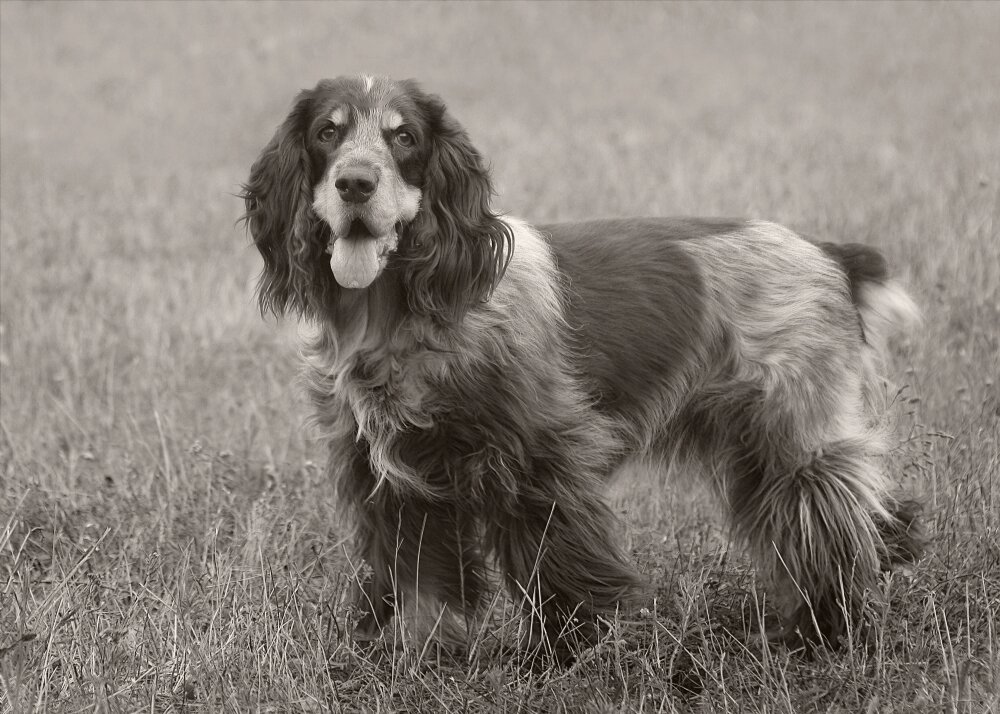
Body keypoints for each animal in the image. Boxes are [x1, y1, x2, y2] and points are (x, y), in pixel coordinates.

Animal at [240, 75, 920, 648]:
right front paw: (418, 655)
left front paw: (564, 652)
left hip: (793, 441)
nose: (355, 183)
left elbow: (558, 568)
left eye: (403, 136)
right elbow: (420, 584)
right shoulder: (394, 479)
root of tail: (829, 253)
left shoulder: (539, 458)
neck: (395, 316)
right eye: (327, 132)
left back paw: (822, 633)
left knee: (839, 532)